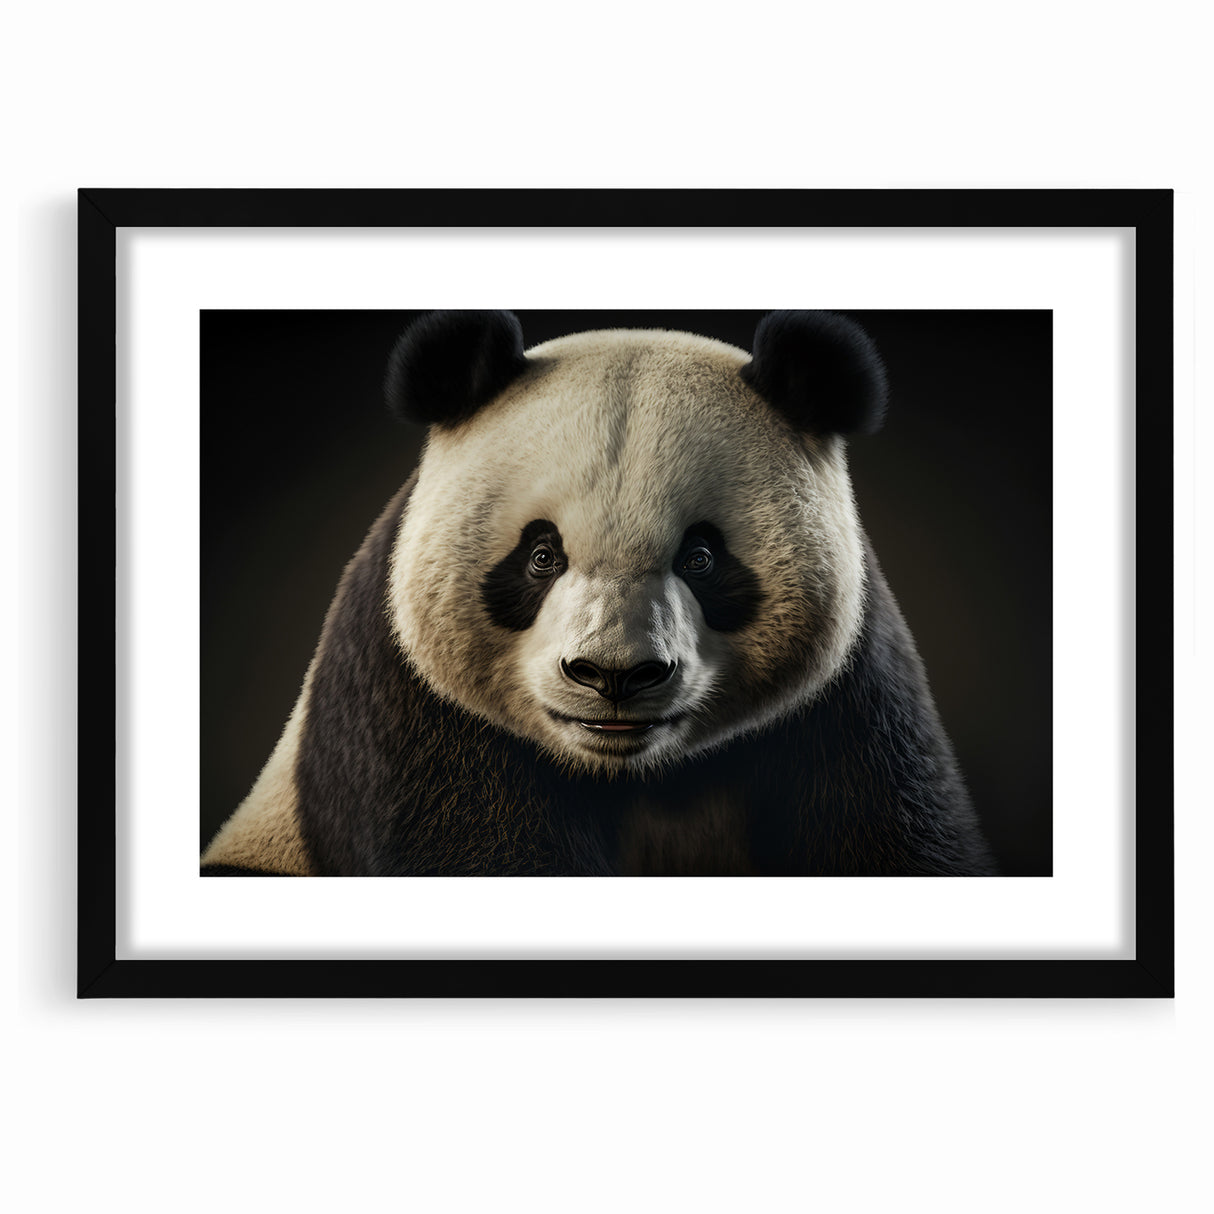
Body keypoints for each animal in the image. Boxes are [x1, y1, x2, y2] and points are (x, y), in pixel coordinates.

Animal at [201, 310, 996, 877]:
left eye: (701, 558)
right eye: (540, 556)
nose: (614, 676)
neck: (635, 776)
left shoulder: (851, 702)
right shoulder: (409, 702)